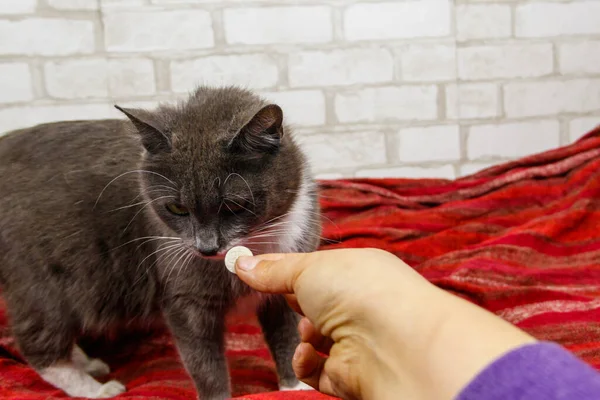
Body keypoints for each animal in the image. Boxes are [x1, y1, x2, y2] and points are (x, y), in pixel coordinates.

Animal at [0, 86, 322, 398]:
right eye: (177, 208)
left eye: (233, 206)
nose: (206, 248)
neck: (253, 246)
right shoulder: (184, 293)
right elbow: (203, 361)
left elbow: (289, 336)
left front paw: (295, 387)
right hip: (44, 276)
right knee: (38, 340)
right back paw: (97, 389)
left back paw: (89, 363)